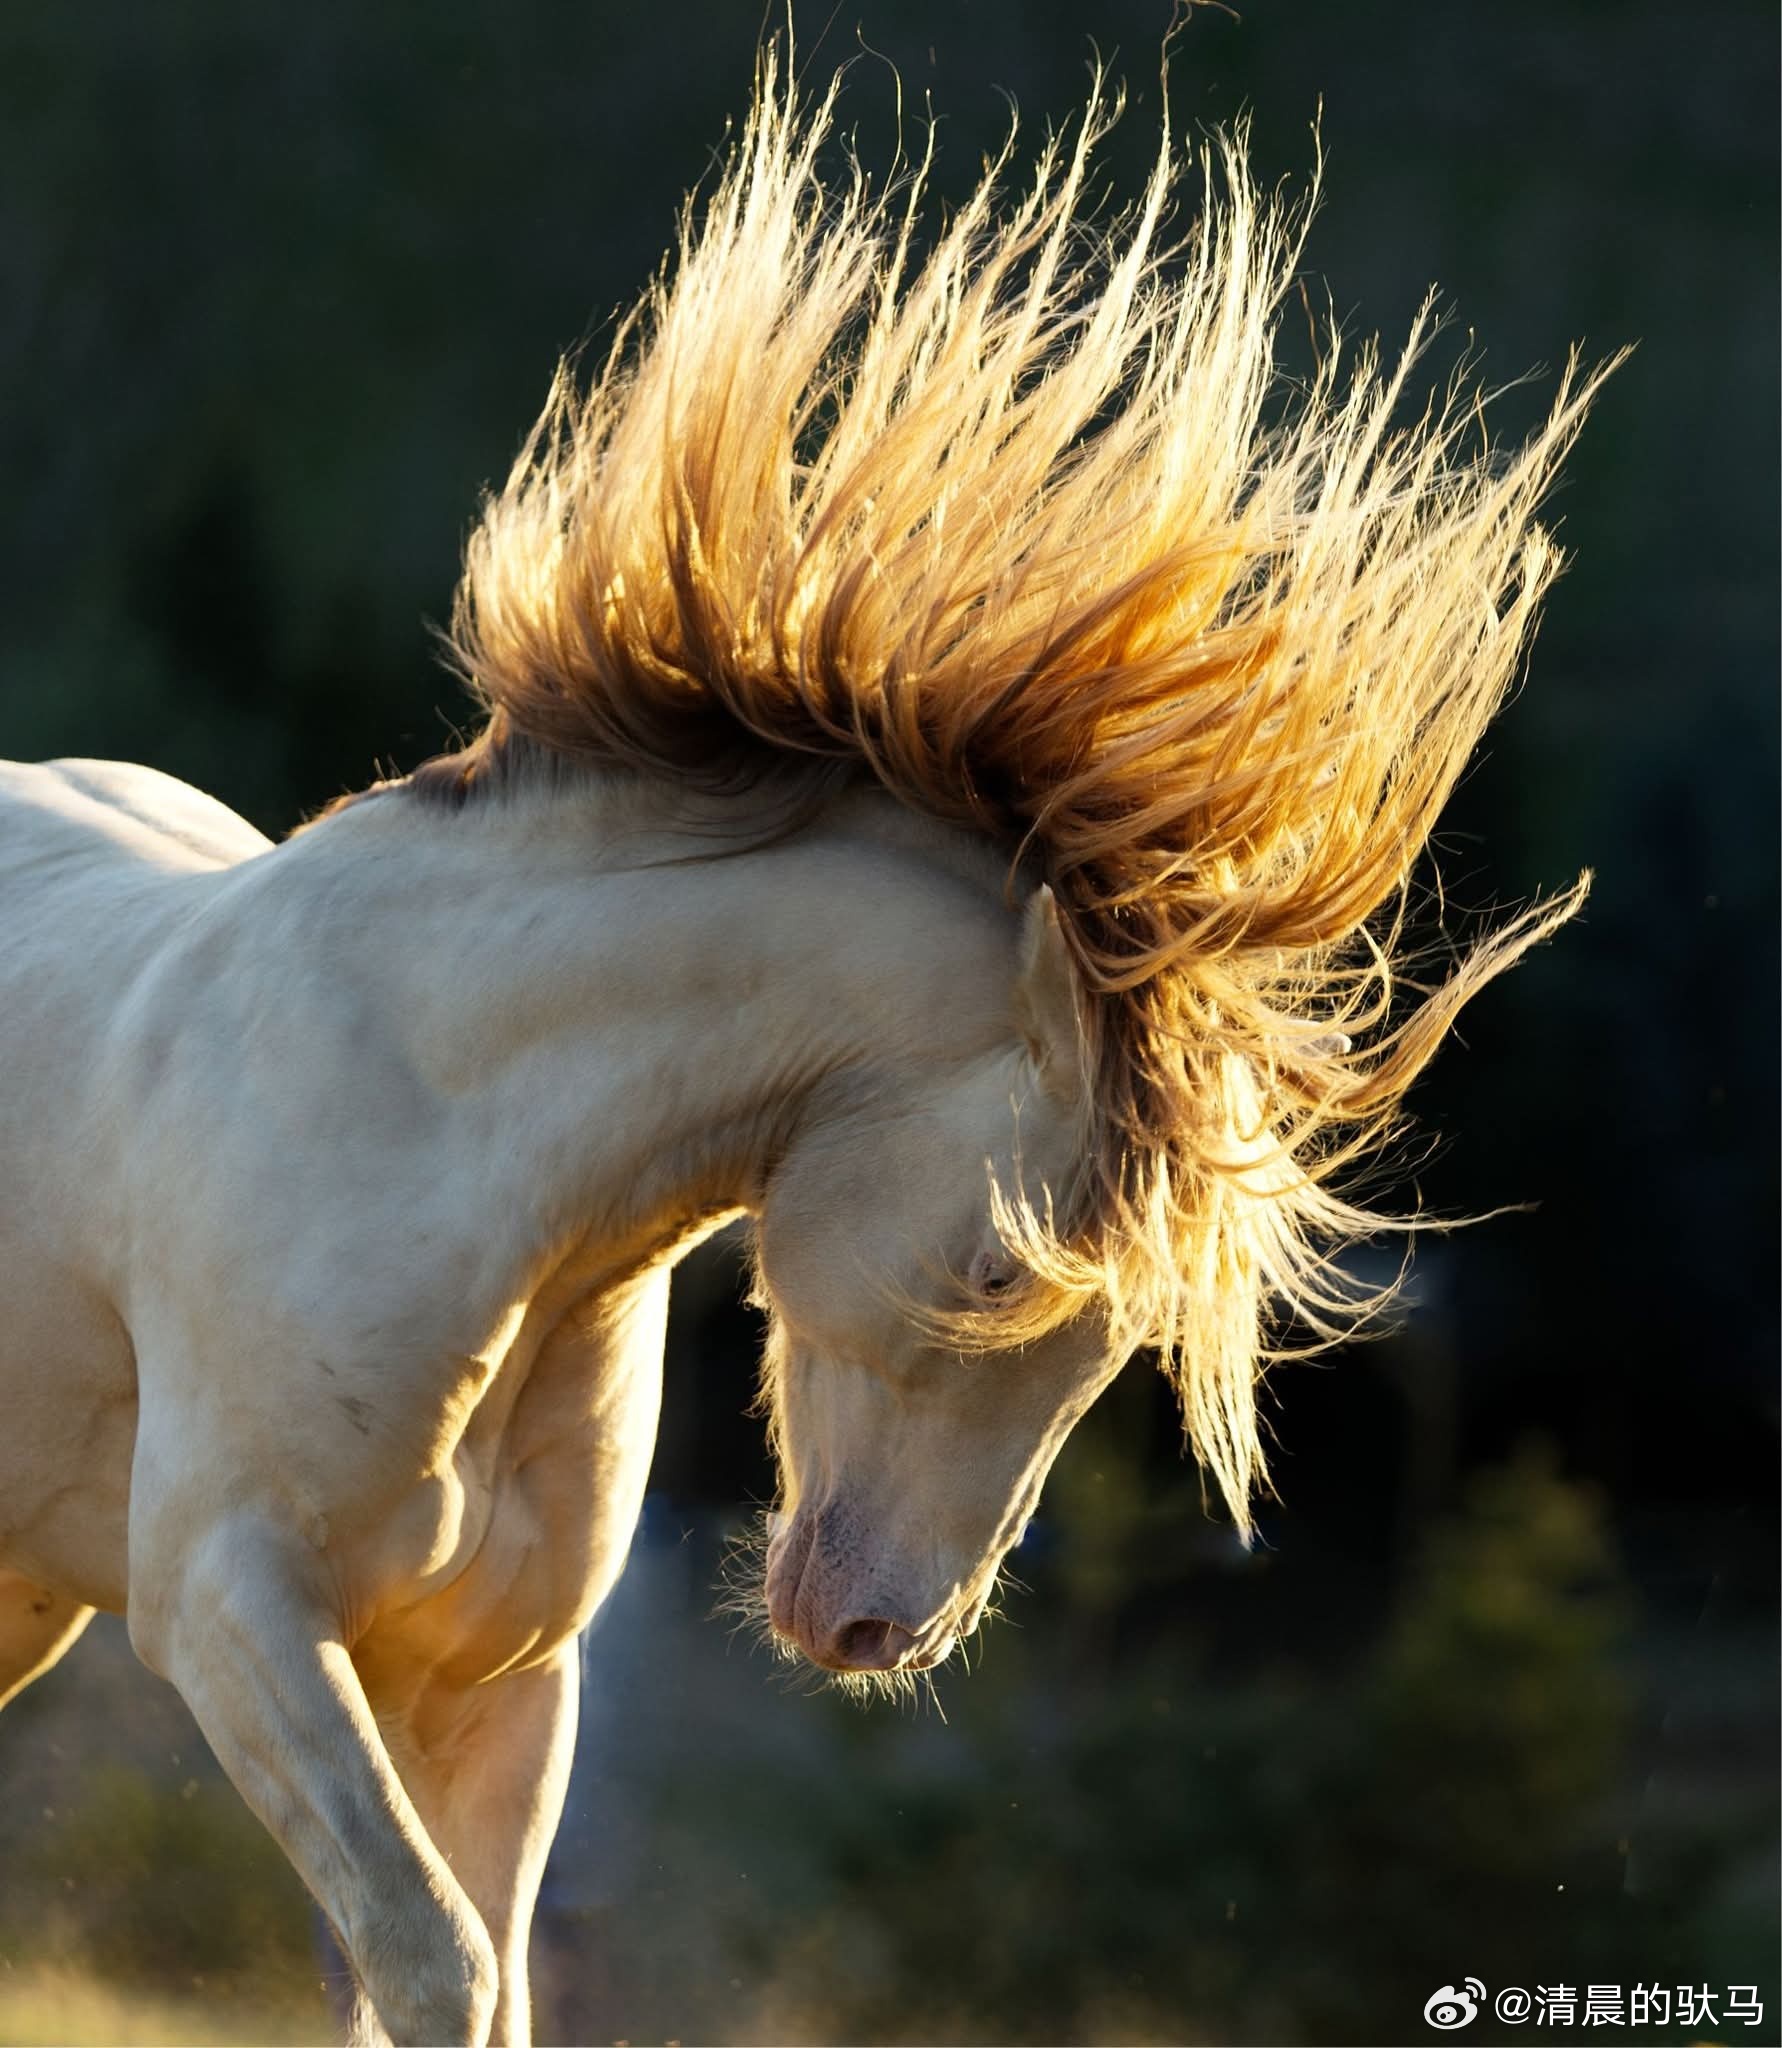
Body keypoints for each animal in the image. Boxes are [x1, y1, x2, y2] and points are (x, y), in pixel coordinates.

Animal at [0, 55, 1610, 2048]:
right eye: (997, 1269)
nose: (876, 1633)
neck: (437, 1144)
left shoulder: (492, 1671)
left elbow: (473, 1973)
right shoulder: (234, 1612)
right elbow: (434, 1959)